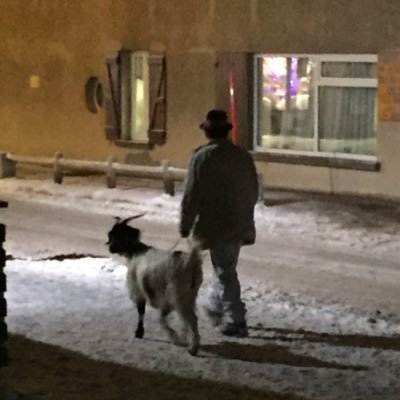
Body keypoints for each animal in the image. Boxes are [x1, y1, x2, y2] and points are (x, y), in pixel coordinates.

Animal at [107, 216, 203, 356]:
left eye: (114, 234)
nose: (110, 248)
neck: (135, 252)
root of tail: (190, 262)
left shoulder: (138, 291)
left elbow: (142, 313)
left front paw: (139, 333)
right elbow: (161, 317)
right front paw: (178, 337)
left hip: (177, 295)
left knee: (192, 319)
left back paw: (193, 348)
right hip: (189, 296)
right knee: (186, 319)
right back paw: (186, 339)